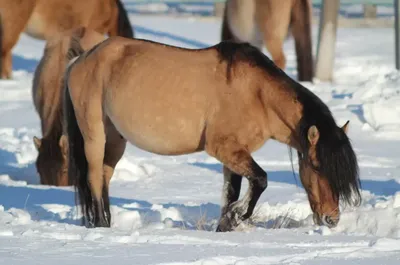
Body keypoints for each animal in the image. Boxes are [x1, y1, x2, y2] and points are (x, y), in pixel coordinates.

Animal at [63, 36, 362, 230]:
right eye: (317, 166)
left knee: (104, 177)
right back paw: (101, 225)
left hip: (116, 140)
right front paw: (239, 216)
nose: (332, 219)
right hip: (94, 134)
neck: (256, 94)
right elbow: (260, 180)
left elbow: (233, 191)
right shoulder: (223, 148)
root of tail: (81, 59)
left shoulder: (235, 154)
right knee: (93, 177)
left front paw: (226, 224)